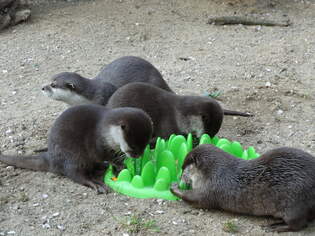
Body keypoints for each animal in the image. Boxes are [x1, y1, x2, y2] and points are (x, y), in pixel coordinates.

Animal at [0, 104, 153, 193]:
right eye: (133, 146)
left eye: (145, 144)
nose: (138, 155)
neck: (105, 131)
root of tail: (51, 158)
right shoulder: (96, 143)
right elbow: (103, 156)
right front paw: (119, 164)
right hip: (72, 157)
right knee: (75, 175)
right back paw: (95, 183)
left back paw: (101, 168)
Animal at [172, 144, 315, 232]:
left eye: (183, 168)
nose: (180, 178)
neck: (216, 172)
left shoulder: (211, 188)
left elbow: (195, 199)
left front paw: (174, 188)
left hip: (295, 202)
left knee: (299, 224)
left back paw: (276, 227)